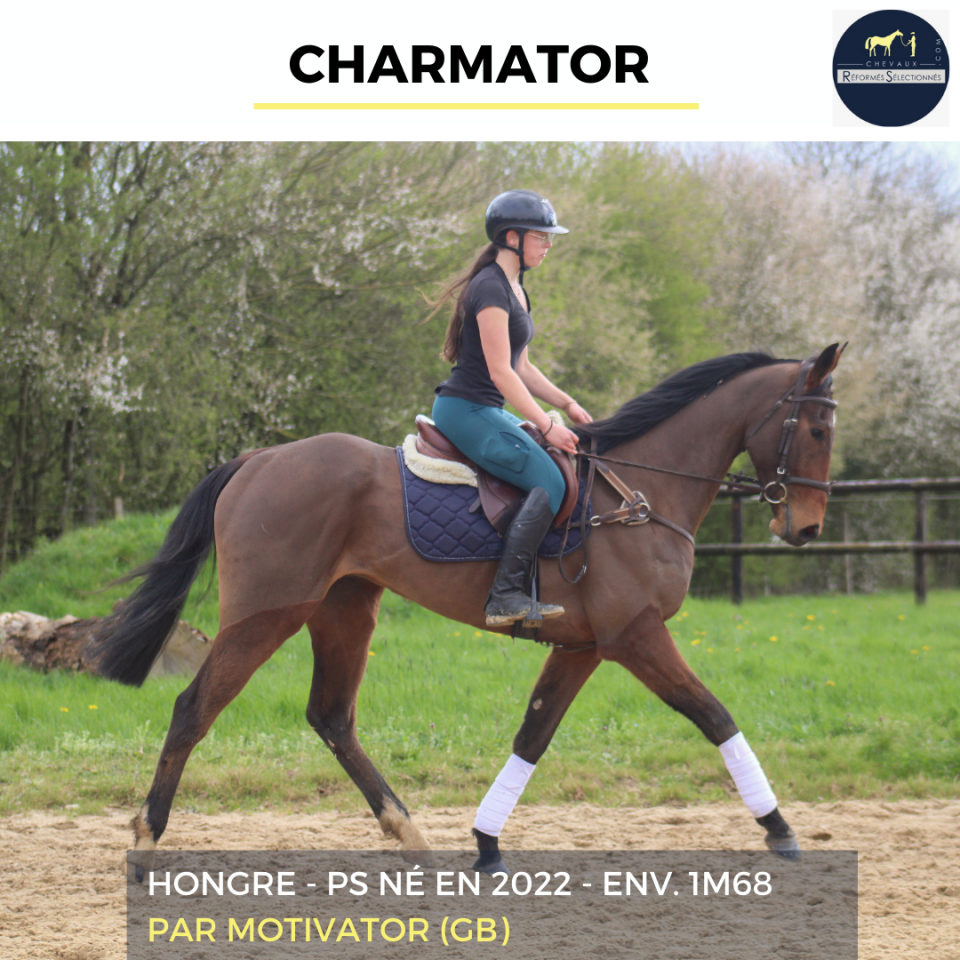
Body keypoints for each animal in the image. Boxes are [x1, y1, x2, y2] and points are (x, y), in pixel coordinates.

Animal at [90, 345, 844, 881]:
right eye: (815, 427)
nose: (806, 528)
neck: (639, 488)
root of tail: (257, 459)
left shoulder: (582, 647)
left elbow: (532, 736)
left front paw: (485, 842)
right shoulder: (634, 637)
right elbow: (714, 715)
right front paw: (779, 829)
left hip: (345, 611)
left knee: (332, 718)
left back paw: (411, 836)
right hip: (267, 614)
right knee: (195, 708)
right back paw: (146, 841)